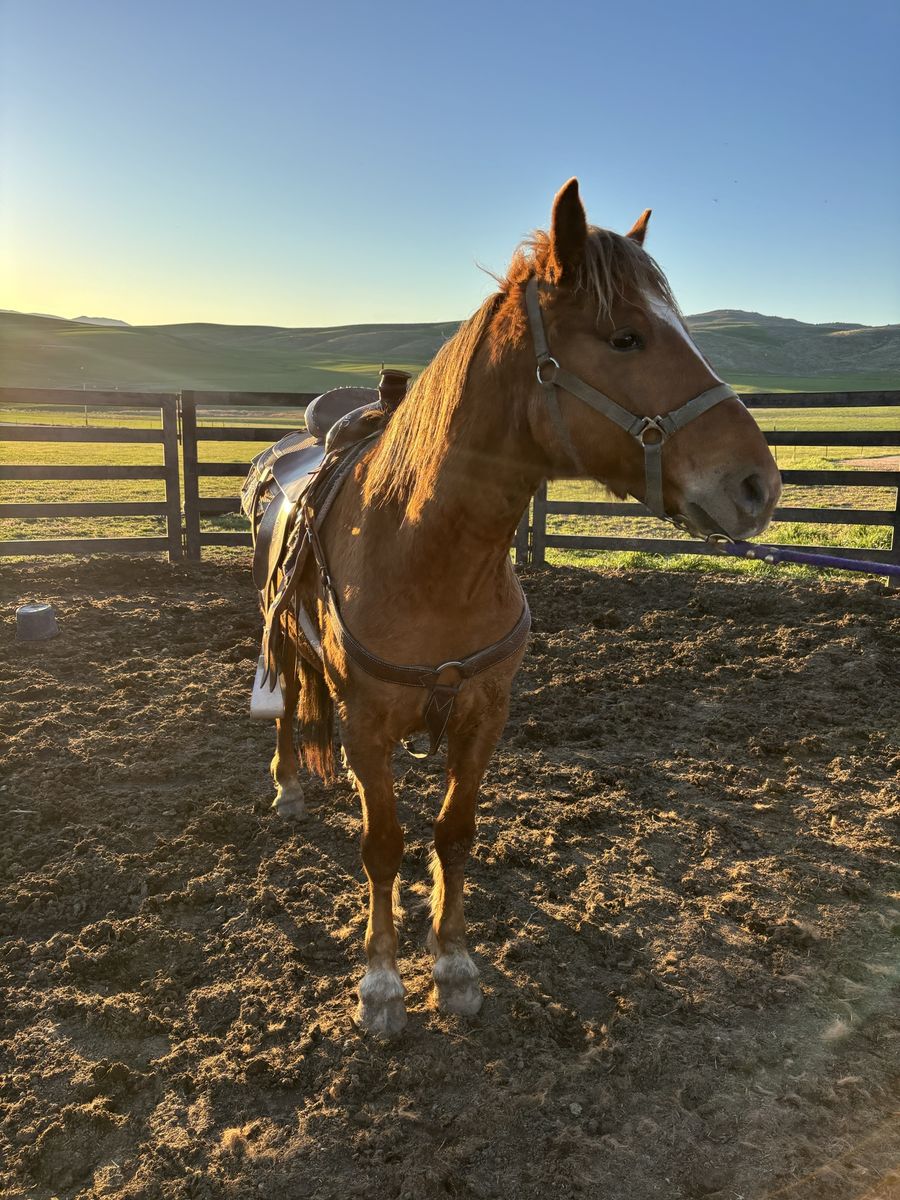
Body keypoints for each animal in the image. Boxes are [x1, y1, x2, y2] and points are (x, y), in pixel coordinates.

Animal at [262, 179, 781, 1036]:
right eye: (627, 337)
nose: (758, 485)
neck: (429, 555)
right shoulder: (368, 724)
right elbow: (383, 844)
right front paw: (381, 983)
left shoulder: (485, 715)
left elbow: (454, 835)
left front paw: (454, 966)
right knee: (287, 704)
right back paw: (288, 785)